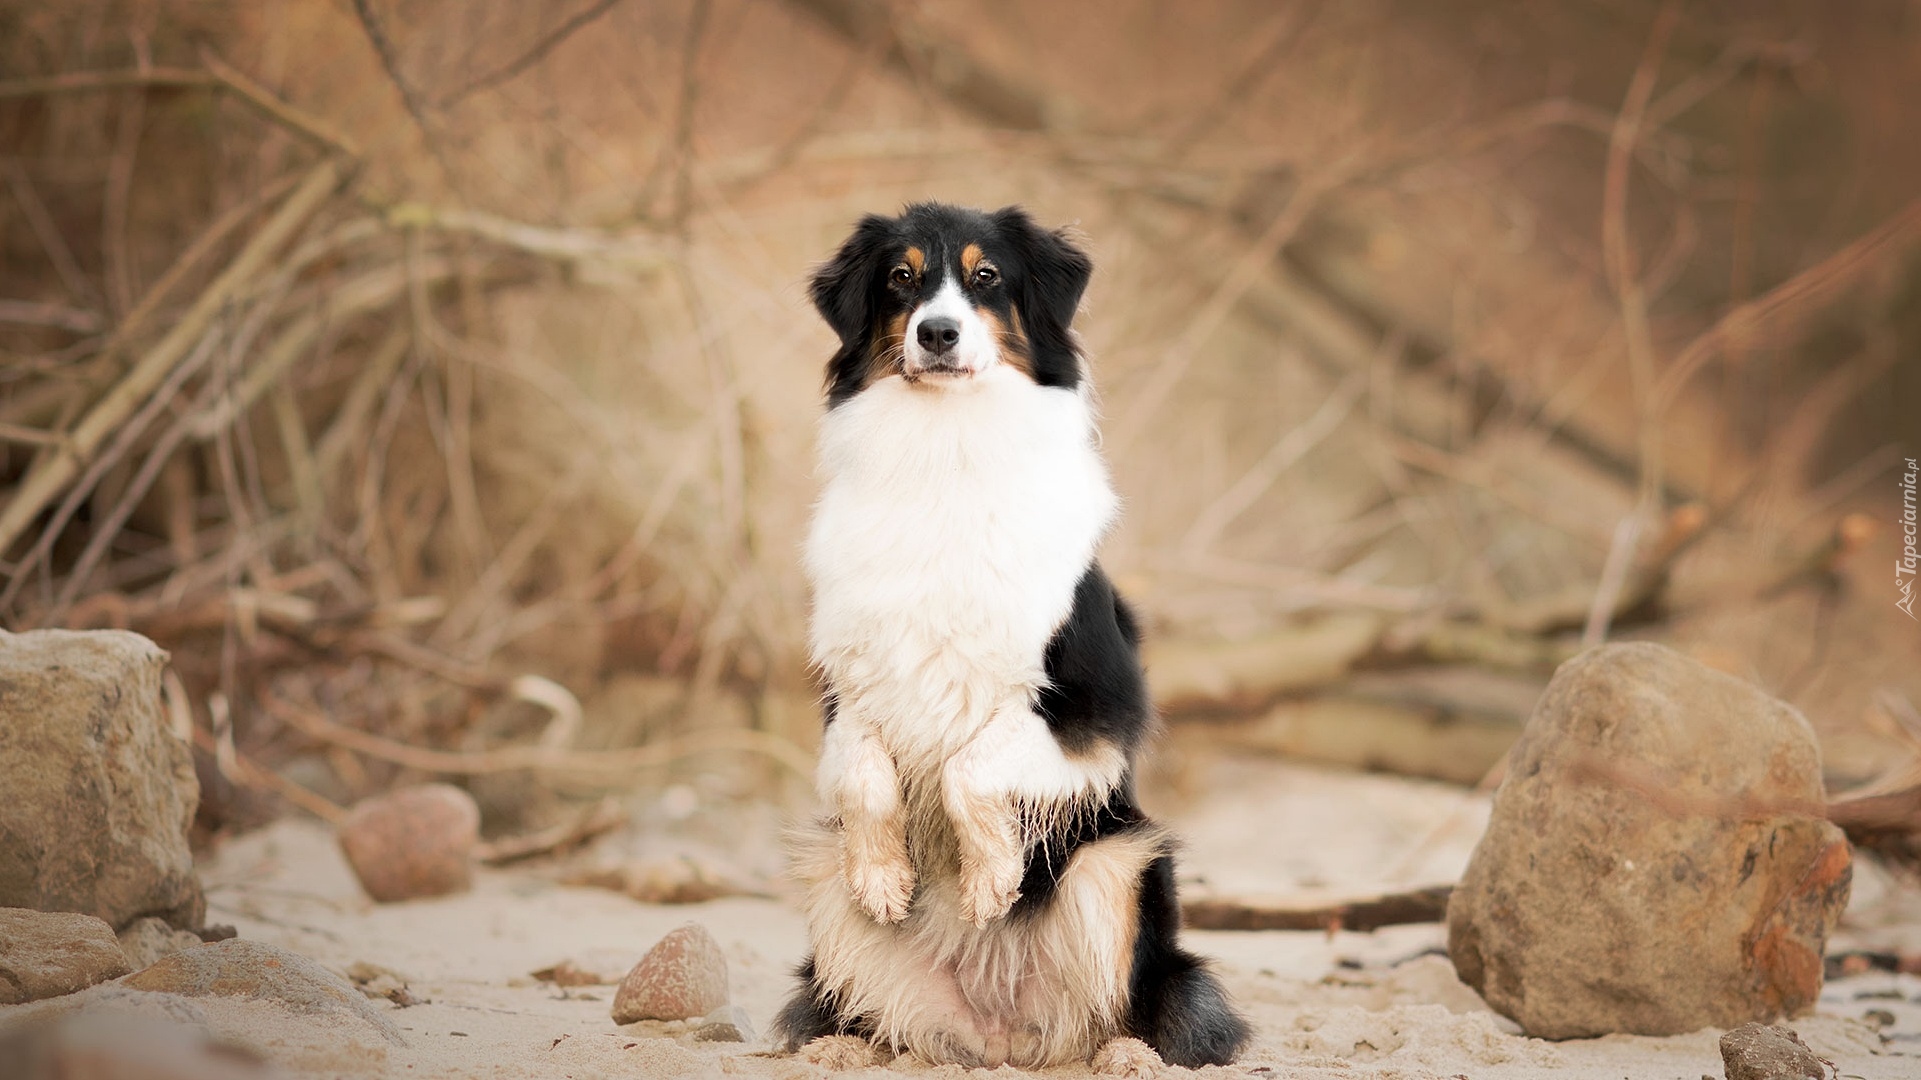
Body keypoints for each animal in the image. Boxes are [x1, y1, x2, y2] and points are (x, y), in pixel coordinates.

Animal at [772, 201, 1252, 1068]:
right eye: (900, 277)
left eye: (986, 276)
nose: (937, 332)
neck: (945, 451)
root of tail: (998, 1032)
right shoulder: (847, 687)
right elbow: (863, 773)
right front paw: (885, 878)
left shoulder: (1097, 711)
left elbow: (971, 764)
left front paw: (991, 880)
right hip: (823, 878)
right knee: (873, 1015)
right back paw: (840, 1050)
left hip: (1119, 862)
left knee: (1136, 1009)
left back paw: (1124, 1057)